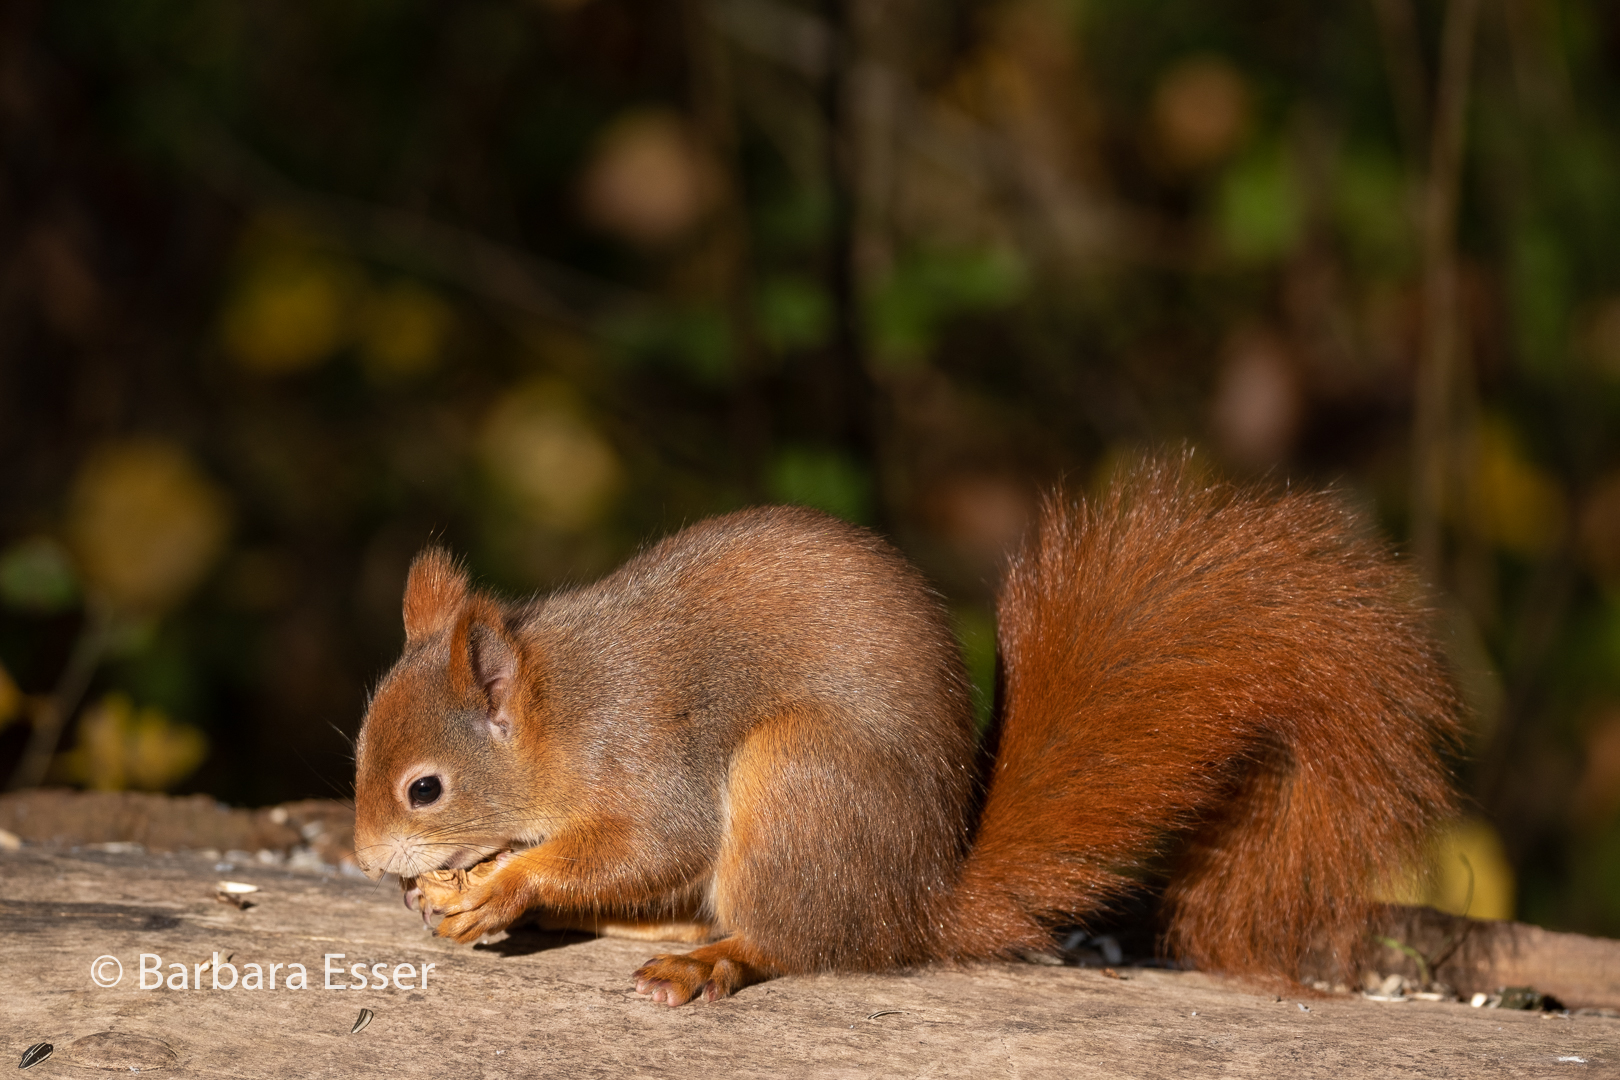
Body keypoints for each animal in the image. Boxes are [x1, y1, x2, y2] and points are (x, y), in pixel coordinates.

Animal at [351, 459, 1458, 1003]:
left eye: (424, 789)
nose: (365, 862)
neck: (562, 709)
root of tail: (915, 903)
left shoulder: (645, 759)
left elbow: (648, 840)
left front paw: (502, 886)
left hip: (797, 780)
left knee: (792, 941)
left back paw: (712, 958)